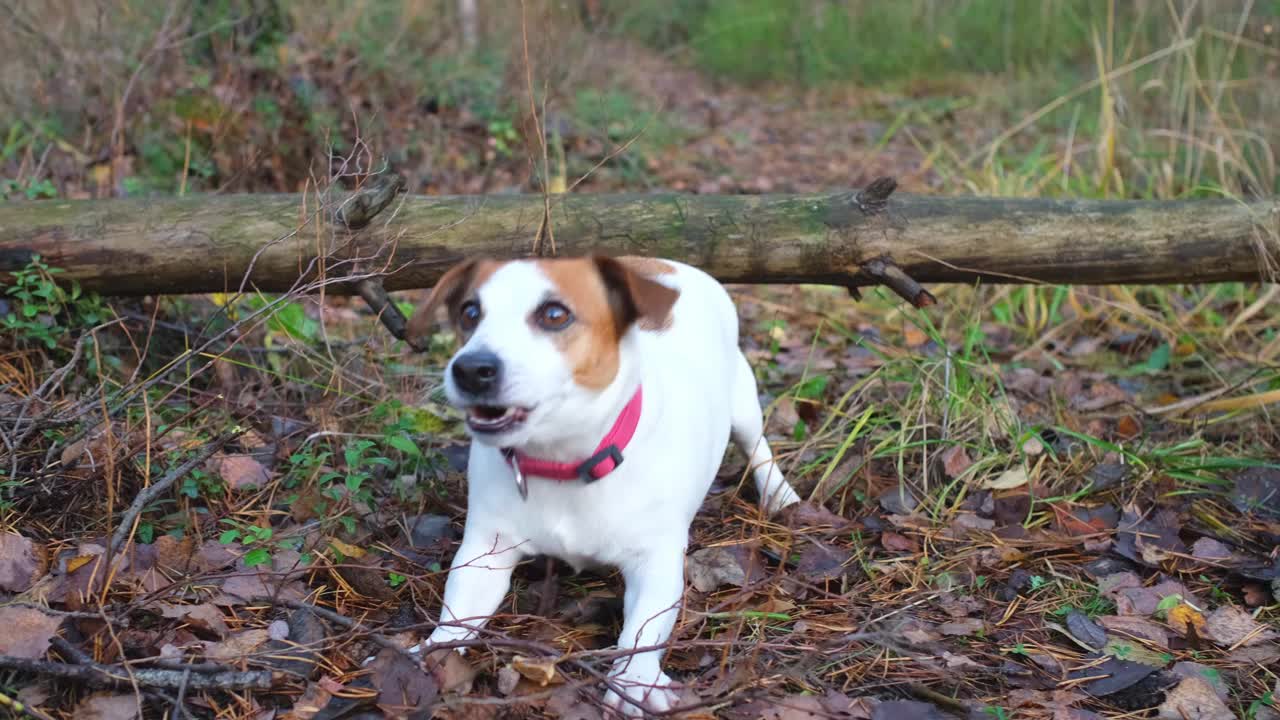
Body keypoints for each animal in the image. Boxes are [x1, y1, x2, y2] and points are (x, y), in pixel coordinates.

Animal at [399, 253, 798, 712]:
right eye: (469, 312)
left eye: (555, 314)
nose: (470, 368)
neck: (564, 462)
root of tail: (664, 263)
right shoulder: (485, 554)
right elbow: (458, 613)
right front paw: (430, 653)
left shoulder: (655, 560)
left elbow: (643, 627)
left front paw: (634, 680)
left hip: (743, 401)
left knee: (757, 445)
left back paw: (779, 493)